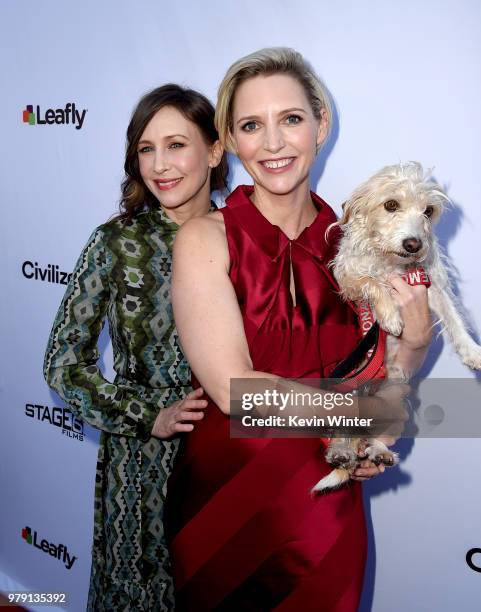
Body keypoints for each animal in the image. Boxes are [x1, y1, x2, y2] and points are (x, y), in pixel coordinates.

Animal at [312, 161, 480, 492]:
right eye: (390, 205)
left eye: (428, 211)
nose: (414, 244)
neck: (392, 263)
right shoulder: (348, 276)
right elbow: (372, 281)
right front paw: (389, 315)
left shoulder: (429, 285)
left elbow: (454, 316)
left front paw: (472, 351)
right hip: (342, 395)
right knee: (341, 437)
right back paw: (340, 452)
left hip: (394, 397)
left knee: (373, 439)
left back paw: (378, 452)